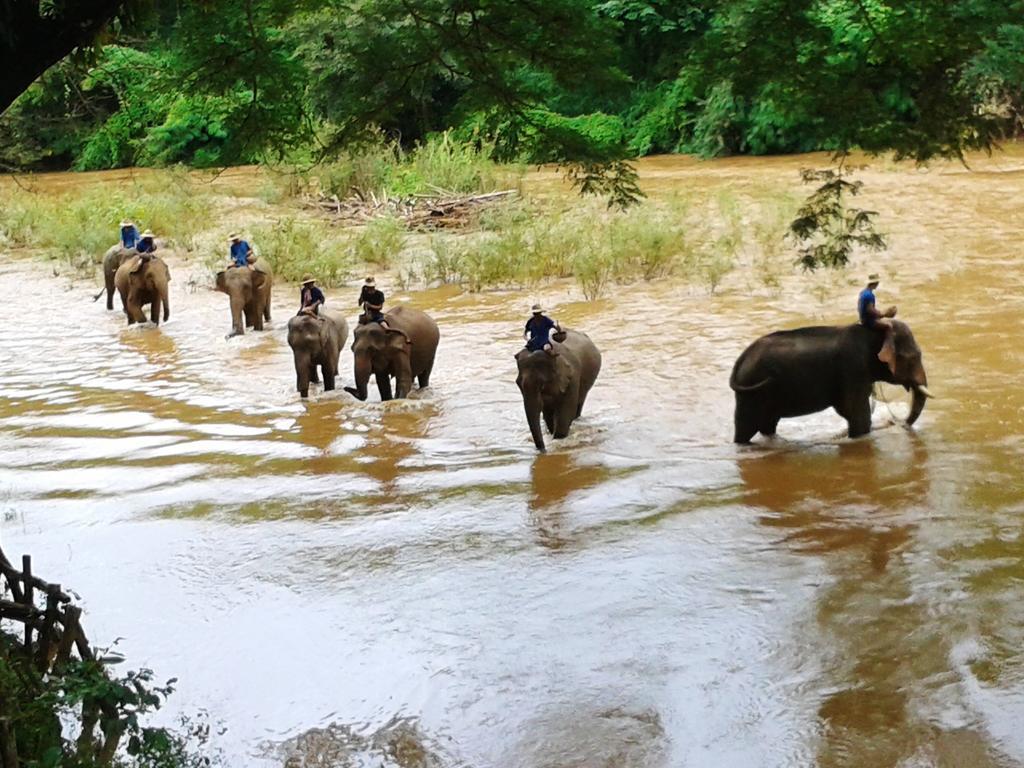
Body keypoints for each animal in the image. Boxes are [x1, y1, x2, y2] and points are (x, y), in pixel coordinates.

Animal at [729, 319, 937, 442]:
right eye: (913, 357)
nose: (894, 422)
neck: (873, 332)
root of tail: (743, 357)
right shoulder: (853, 367)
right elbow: (857, 414)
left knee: (767, 425)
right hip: (752, 391)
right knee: (746, 428)